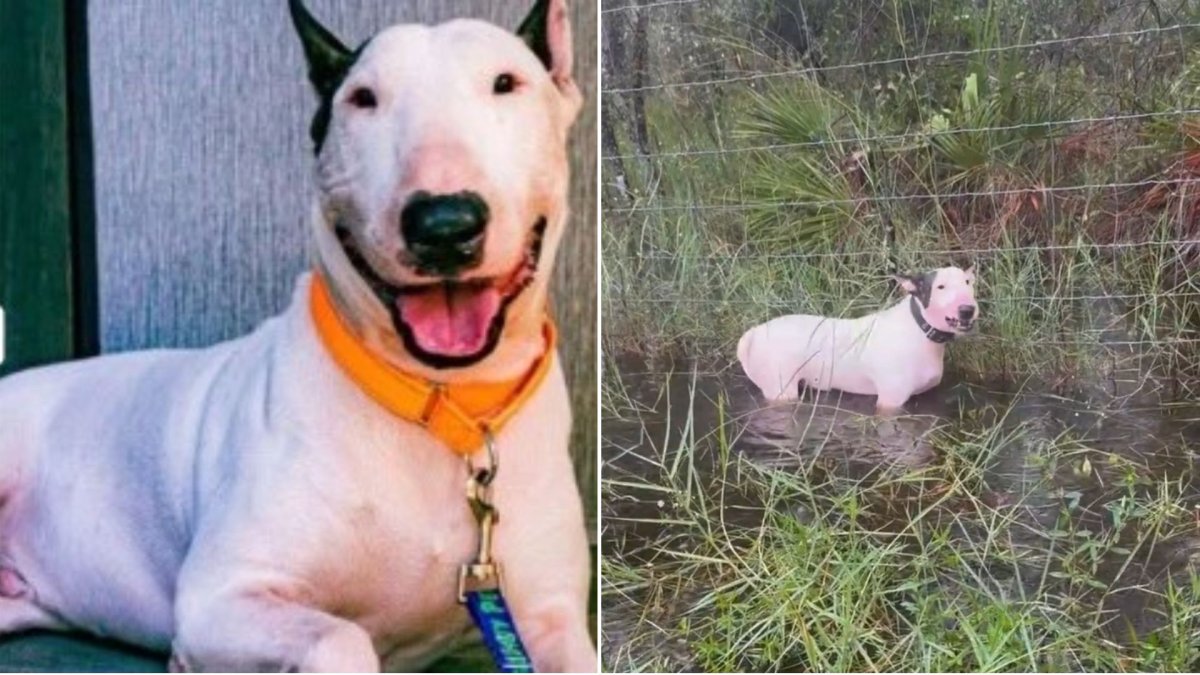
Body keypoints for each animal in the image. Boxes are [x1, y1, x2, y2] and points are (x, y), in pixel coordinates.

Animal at [0, 0, 595, 667]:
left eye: (505, 83)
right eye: (363, 99)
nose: (443, 224)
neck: (441, 404)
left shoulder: (548, 615)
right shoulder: (220, 597)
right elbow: (341, 636)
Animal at [734, 265, 979, 413]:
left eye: (968, 283)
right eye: (940, 286)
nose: (968, 310)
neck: (920, 329)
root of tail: (753, 333)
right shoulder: (890, 401)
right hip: (781, 389)